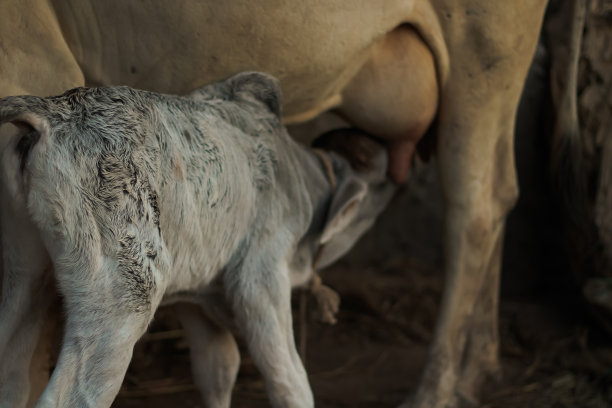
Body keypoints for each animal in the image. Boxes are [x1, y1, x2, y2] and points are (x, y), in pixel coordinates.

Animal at [0, 73, 394, 408]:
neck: (298, 177)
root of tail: (50, 110)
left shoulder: (196, 298)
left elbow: (218, 368)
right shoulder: (260, 277)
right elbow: (289, 379)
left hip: (22, 274)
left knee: (13, 377)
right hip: (122, 296)